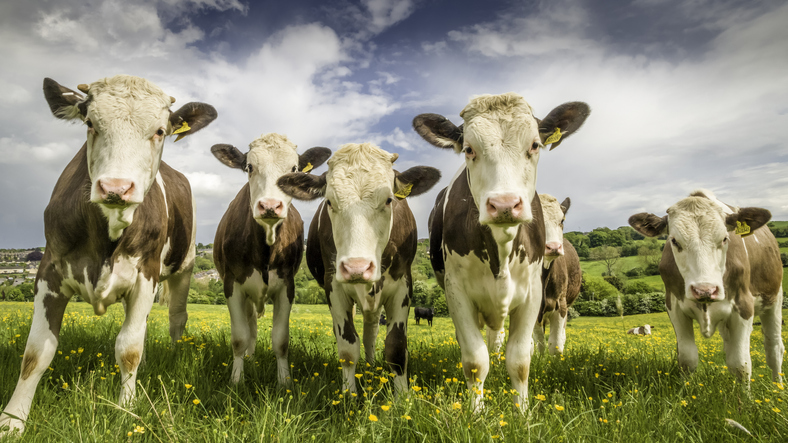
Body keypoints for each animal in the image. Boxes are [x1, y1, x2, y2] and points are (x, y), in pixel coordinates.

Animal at [0, 75, 216, 435]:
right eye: (90, 123)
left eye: (160, 130)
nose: (116, 187)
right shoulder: (49, 271)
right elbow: (36, 352)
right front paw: (13, 420)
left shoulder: (146, 275)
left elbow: (128, 348)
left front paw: (126, 409)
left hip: (183, 267)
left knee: (177, 317)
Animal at [210, 134, 331, 385]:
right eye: (249, 167)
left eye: (294, 169)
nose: (270, 206)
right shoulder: (232, 285)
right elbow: (239, 337)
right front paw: (236, 380)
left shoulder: (287, 286)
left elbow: (281, 340)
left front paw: (284, 382)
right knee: (251, 327)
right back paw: (249, 358)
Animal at [277, 142, 441, 394]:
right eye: (329, 201)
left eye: (389, 200)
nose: (357, 267)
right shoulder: (333, 286)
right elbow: (347, 346)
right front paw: (349, 394)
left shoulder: (403, 284)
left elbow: (396, 347)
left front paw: (402, 396)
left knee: (371, 331)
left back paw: (372, 366)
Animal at [629, 189, 784, 383]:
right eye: (674, 241)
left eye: (725, 238)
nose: (705, 290)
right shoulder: (674, 306)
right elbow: (687, 359)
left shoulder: (743, 305)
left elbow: (741, 364)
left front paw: (744, 392)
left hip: (775, 299)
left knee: (774, 348)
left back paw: (777, 386)